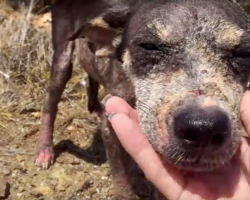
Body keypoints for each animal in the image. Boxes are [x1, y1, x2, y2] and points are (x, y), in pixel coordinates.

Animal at [34, 0, 250, 198]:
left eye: (242, 53)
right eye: (149, 46)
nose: (202, 128)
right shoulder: (111, 126)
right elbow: (122, 185)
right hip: (62, 52)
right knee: (51, 100)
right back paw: (44, 149)